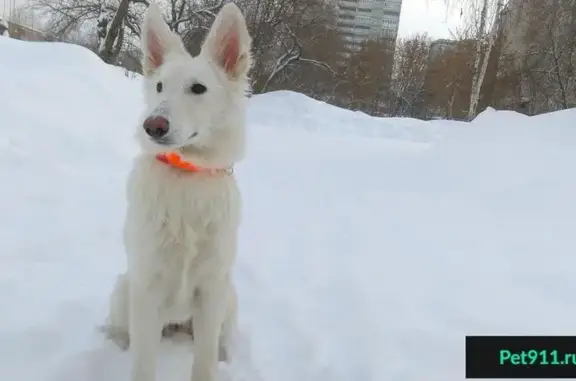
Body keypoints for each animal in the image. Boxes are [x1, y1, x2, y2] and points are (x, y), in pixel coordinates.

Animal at [103, 2, 252, 380]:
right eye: (158, 86)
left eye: (197, 89)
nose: (152, 126)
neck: (187, 176)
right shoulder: (147, 287)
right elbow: (143, 365)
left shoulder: (212, 289)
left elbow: (204, 363)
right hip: (124, 288)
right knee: (122, 331)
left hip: (230, 296)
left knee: (219, 342)